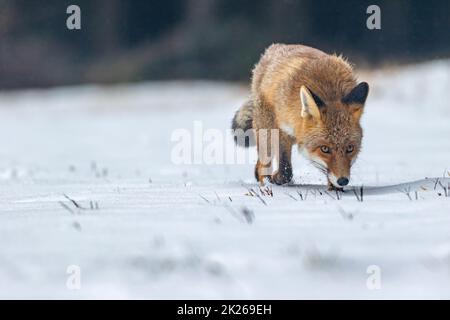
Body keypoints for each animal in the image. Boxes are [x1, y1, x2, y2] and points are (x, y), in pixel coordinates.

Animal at [232, 44, 370, 190]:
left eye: (350, 148)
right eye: (325, 149)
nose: (343, 180)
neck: (330, 92)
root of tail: (275, 47)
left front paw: (335, 189)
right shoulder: (283, 129)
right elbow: (285, 170)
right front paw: (277, 179)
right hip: (267, 130)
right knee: (262, 165)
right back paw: (265, 183)